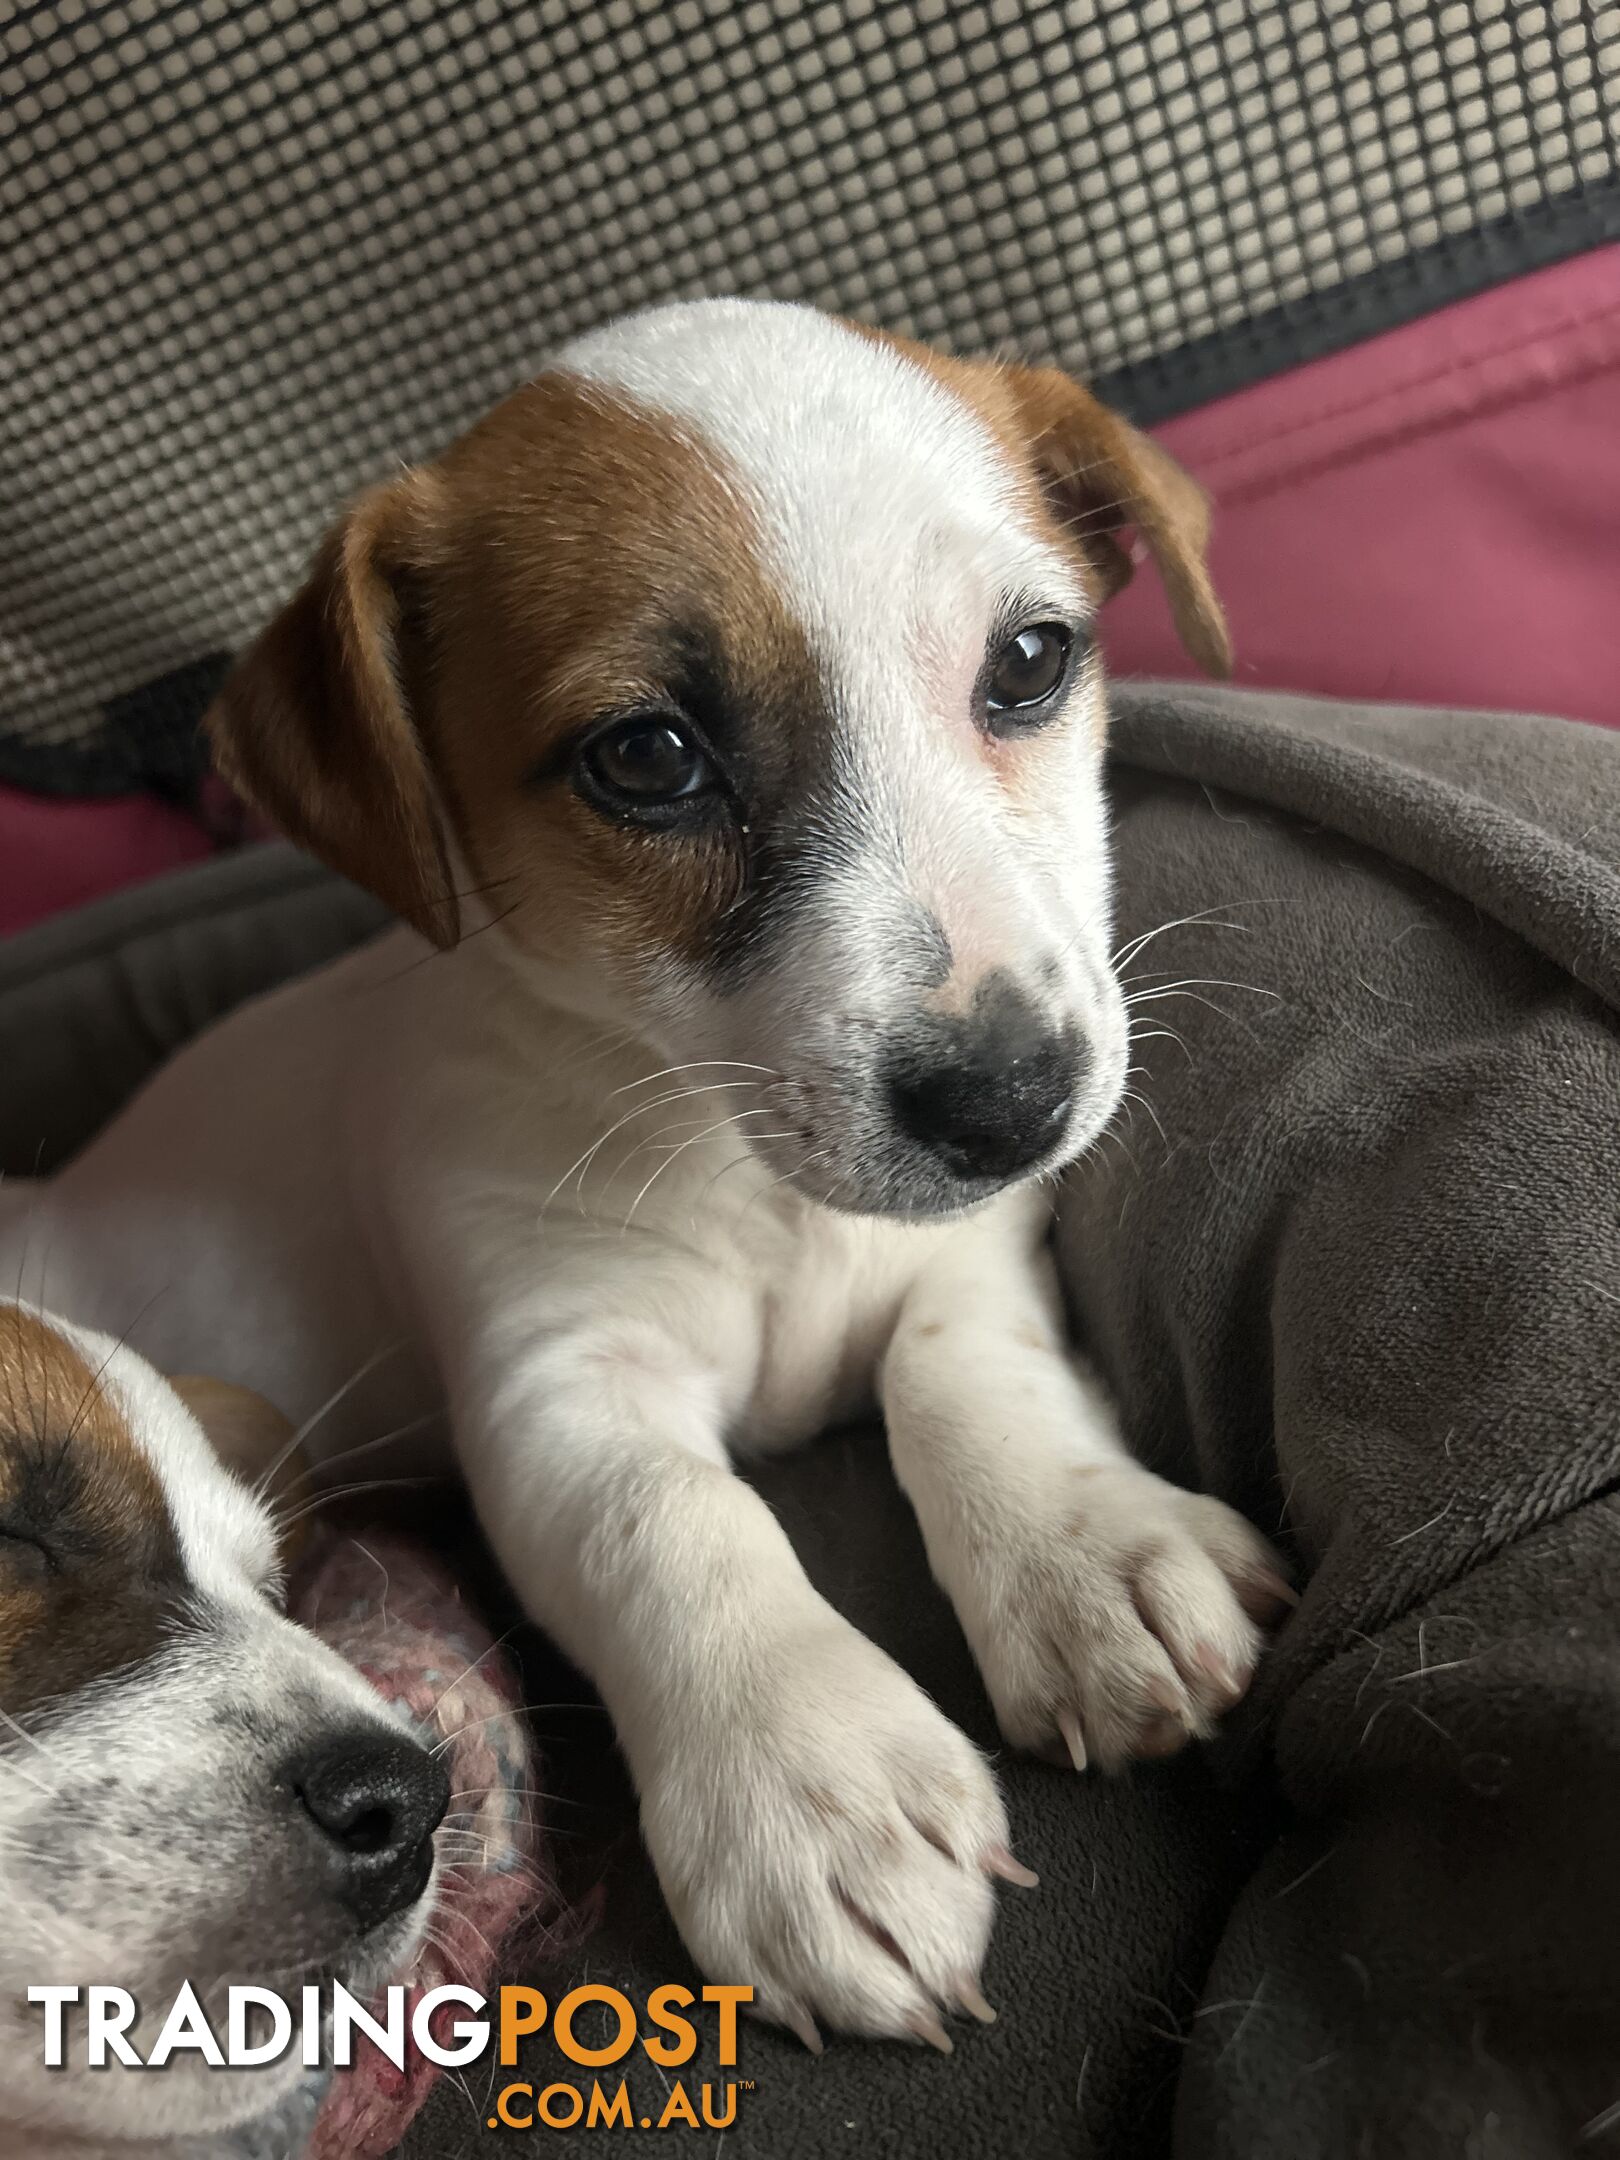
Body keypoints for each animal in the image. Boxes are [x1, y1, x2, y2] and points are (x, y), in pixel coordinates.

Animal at [0, 295, 1296, 2047]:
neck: (750, 1176)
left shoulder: (967, 1257)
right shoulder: (559, 1380)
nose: (1013, 1103)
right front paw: (814, 1783)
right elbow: (674, 1518)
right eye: (647, 759)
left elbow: (968, 1372)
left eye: (1030, 660)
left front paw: (1087, 1555)